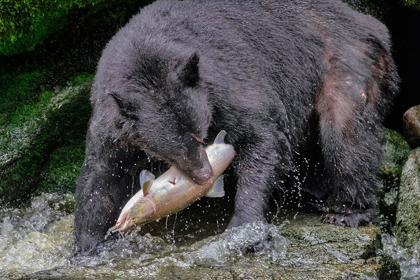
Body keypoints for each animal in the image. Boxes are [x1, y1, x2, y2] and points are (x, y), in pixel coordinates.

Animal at [74, 0, 398, 255]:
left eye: (200, 135)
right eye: (171, 151)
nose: (205, 175)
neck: (146, 57)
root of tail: (368, 22)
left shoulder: (222, 83)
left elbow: (261, 136)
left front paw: (244, 226)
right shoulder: (113, 123)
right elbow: (101, 176)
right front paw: (87, 246)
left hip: (346, 63)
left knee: (345, 136)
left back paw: (348, 211)